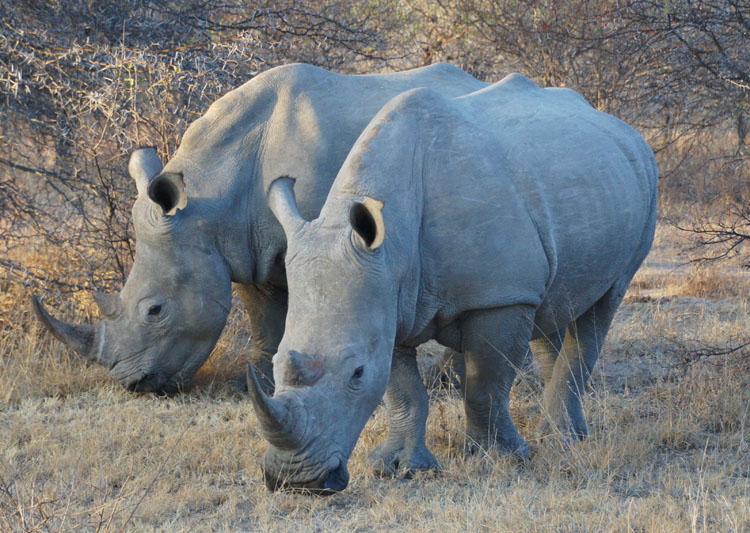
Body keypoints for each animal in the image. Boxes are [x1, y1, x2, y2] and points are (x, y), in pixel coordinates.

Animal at [32, 63, 486, 394]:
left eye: (155, 310)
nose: (132, 384)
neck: (207, 198)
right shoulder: (244, 245)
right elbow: (263, 320)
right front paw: (256, 384)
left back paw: (449, 382)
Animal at [248, 73, 658, 493]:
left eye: (356, 373)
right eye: (276, 364)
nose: (296, 481)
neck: (392, 247)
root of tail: (623, 127)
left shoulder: (499, 295)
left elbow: (485, 386)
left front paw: (498, 458)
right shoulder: (388, 297)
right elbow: (403, 391)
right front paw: (399, 467)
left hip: (642, 182)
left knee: (603, 306)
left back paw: (563, 440)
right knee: (554, 306)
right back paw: (555, 433)